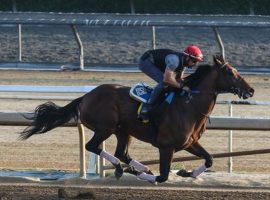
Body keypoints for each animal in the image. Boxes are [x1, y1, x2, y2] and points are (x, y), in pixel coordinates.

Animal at [20, 55, 254, 184]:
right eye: (231, 72)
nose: (251, 90)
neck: (189, 105)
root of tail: (85, 97)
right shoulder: (166, 147)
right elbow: (163, 176)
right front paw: (149, 176)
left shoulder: (190, 143)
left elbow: (209, 159)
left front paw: (186, 172)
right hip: (105, 127)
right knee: (93, 146)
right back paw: (126, 169)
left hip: (123, 131)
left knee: (121, 152)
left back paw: (137, 168)